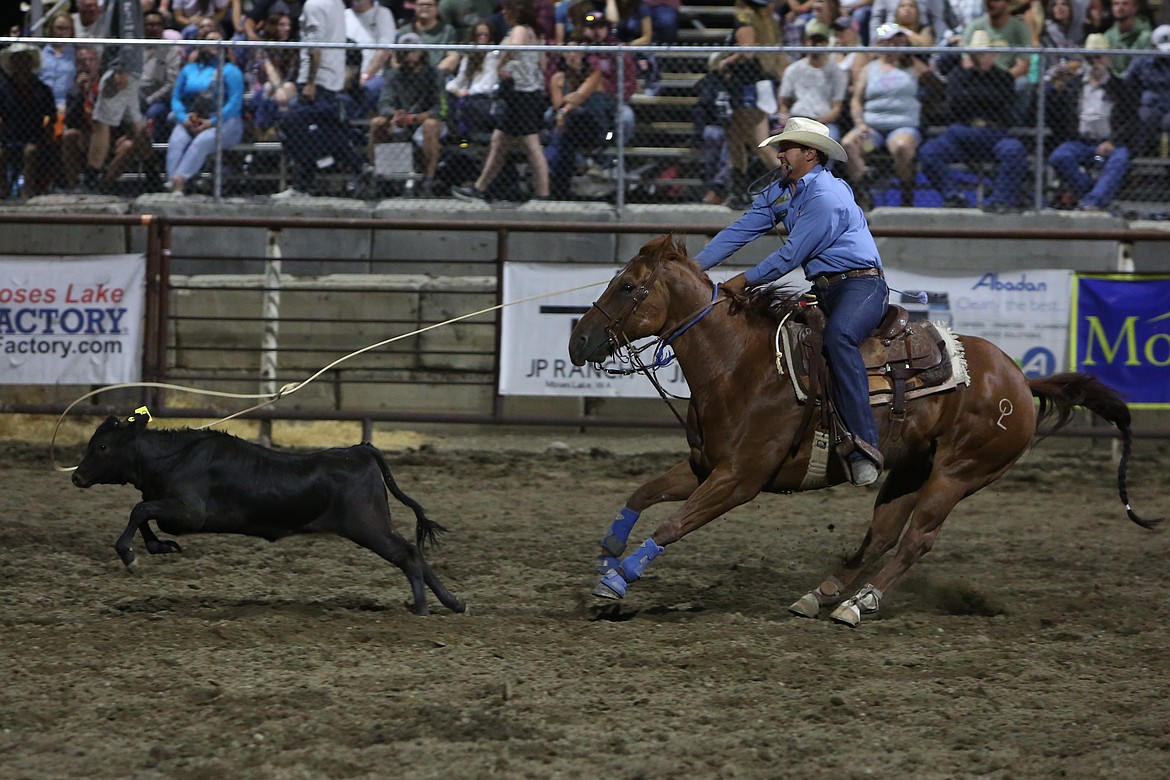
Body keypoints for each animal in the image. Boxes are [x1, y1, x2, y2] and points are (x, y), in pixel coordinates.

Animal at [566, 235, 1151, 626]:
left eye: (629, 286)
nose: (577, 342)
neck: (739, 365)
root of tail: (1019, 379)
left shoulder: (738, 480)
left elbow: (672, 524)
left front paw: (616, 580)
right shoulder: (703, 466)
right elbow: (642, 495)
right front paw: (607, 553)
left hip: (959, 473)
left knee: (915, 540)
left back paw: (858, 604)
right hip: (909, 468)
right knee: (880, 538)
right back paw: (822, 594)